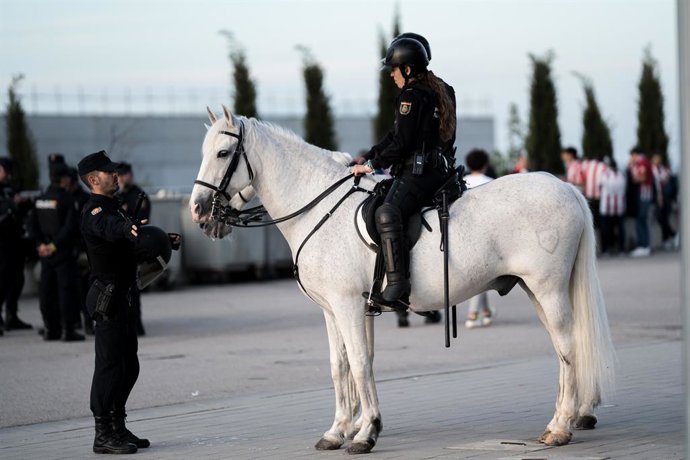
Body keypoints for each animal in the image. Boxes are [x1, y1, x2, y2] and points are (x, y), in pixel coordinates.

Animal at [190, 106, 615, 454]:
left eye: (223, 154)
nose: (197, 211)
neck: (319, 209)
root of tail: (565, 186)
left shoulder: (346, 305)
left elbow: (359, 363)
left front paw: (366, 433)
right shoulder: (339, 310)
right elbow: (343, 365)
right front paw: (341, 429)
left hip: (549, 290)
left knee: (567, 345)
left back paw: (560, 427)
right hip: (536, 292)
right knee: (565, 348)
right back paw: (567, 418)